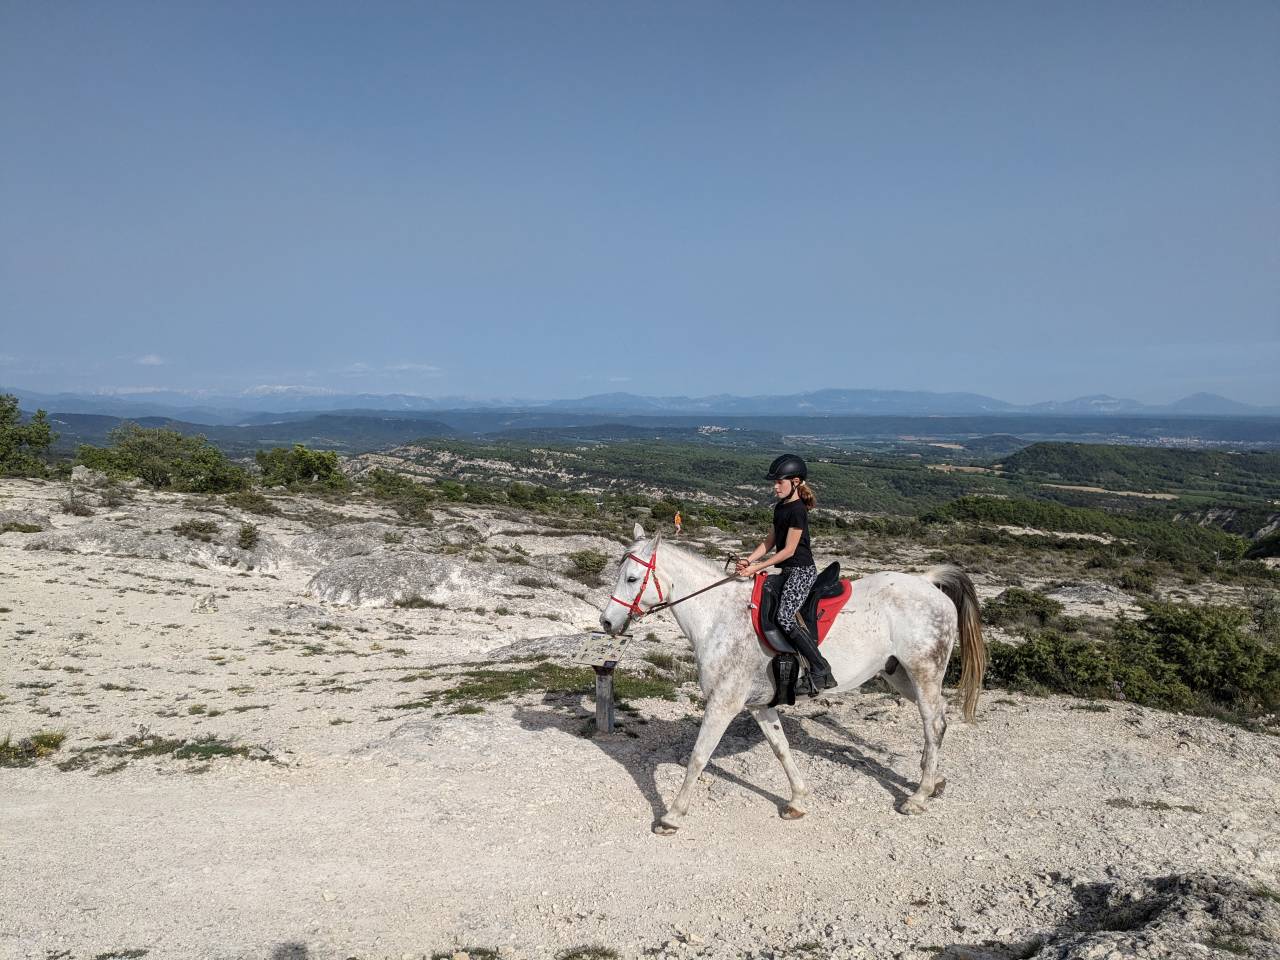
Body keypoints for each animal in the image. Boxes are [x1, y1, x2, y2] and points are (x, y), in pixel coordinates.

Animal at [599, 523, 986, 835]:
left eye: (631, 578)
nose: (606, 622)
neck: (719, 617)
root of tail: (927, 582)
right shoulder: (759, 705)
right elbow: (781, 749)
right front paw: (798, 800)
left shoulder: (724, 703)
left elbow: (698, 756)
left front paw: (672, 816)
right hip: (900, 676)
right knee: (939, 721)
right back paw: (934, 781)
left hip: (923, 672)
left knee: (933, 724)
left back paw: (919, 796)